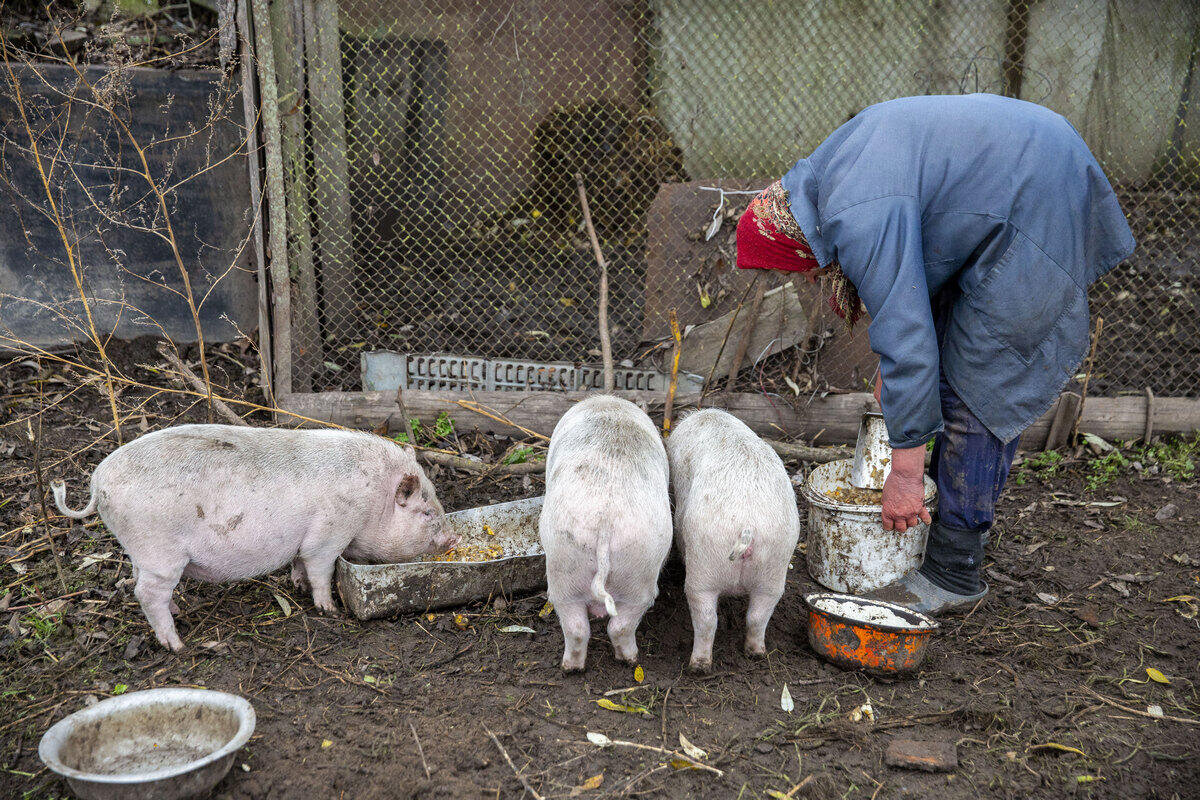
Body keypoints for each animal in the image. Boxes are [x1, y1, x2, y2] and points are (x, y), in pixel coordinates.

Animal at [51, 424, 456, 652]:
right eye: (425, 512)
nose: (451, 541)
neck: (374, 502)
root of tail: (97, 482)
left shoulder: (304, 540)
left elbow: (299, 563)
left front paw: (296, 586)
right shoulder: (329, 532)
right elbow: (320, 569)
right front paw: (329, 609)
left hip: (141, 551)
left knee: (142, 583)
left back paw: (178, 614)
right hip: (159, 550)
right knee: (146, 593)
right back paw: (177, 645)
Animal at [544, 398, 676, 671]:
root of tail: (605, 525)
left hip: (567, 566)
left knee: (579, 627)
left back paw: (572, 668)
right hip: (636, 571)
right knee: (616, 625)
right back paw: (629, 659)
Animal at [672, 410, 801, 671]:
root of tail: (746, 526)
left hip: (704, 566)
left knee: (706, 619)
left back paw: (699, 666)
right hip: (773, 568)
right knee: (757, 616)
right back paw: (755, 653)